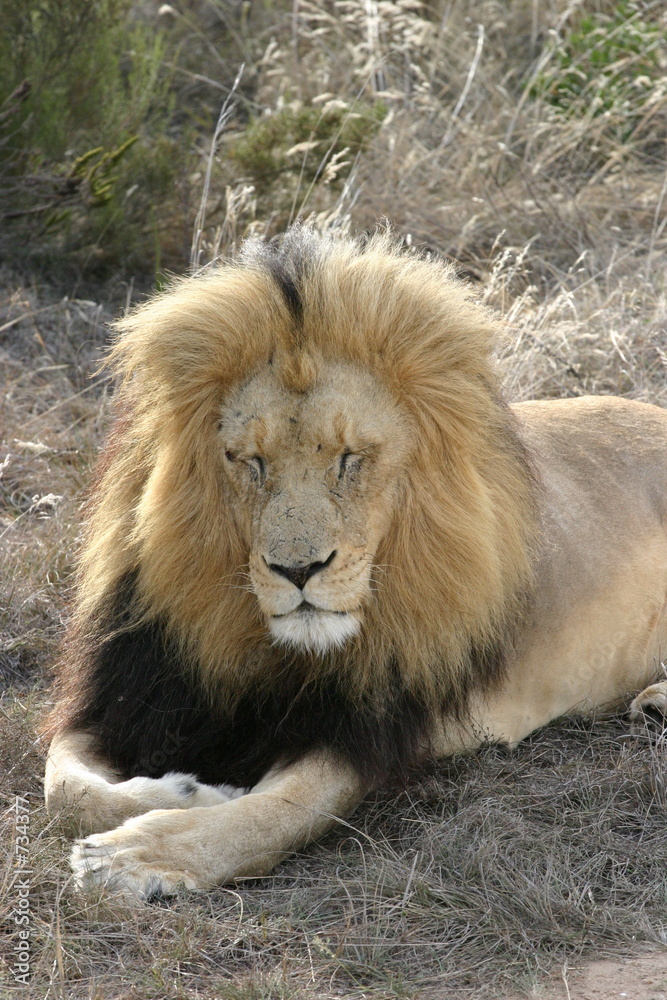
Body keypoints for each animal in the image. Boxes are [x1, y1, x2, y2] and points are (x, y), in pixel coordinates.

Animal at [43, 225, 667, 901]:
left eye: (350, 459)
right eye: (250, 461)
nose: (298, 570)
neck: (267, 651)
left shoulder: (370, 728)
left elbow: (276, 811)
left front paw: (138, 853)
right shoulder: (129, 695)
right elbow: (64, 784)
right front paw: (182, 789)